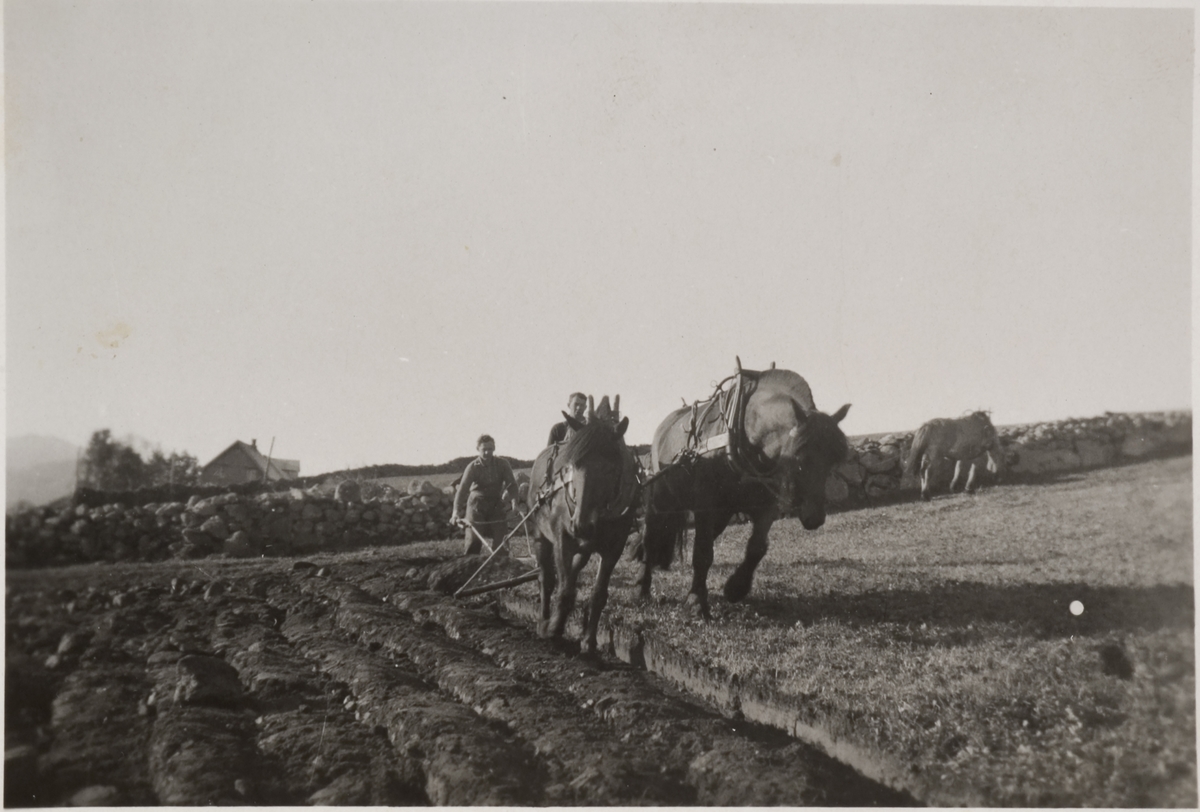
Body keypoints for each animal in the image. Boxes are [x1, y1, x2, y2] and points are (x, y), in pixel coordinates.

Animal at [525, 395, 638, 657]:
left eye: (610, 467)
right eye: (572, 465)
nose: (581, 525)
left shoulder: (614, 547)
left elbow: (598, 594)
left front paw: (589, 641)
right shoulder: (562, 537)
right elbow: (564, 591)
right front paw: (554, 630)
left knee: (573, 569)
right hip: (539, 535)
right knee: (547, 578)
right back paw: (544, 621)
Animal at [638, 364, 854, 618]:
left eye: (832, 461)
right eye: (801, 459)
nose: (815, 518)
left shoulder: (766, 506)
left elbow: (756, 548)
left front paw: (735, 588)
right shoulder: (705, 506)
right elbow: (702, 553)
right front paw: (696, 600)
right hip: (661, 500)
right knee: (650, 537)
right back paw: (642, 586)